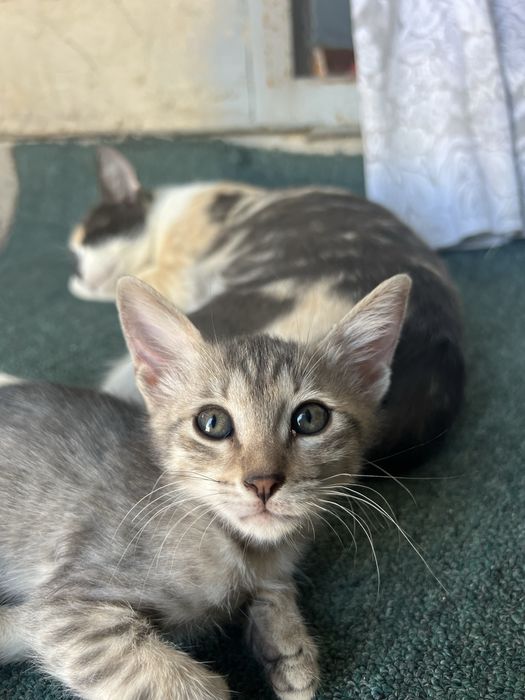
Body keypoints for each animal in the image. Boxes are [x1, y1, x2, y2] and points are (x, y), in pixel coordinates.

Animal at [0, 273, 413, 699]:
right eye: (212, 423)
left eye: (310, 418)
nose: (263, 482)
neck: (241, 548)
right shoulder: (70, 608)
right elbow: (178, 684)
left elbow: (275, 588)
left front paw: (287, 645)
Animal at [69, 147, 465, 465]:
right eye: (77, 252)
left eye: (92, 238)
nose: (81, 270)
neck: (165, 216)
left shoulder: (175, 273)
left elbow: (129, 280)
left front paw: (79, 288)